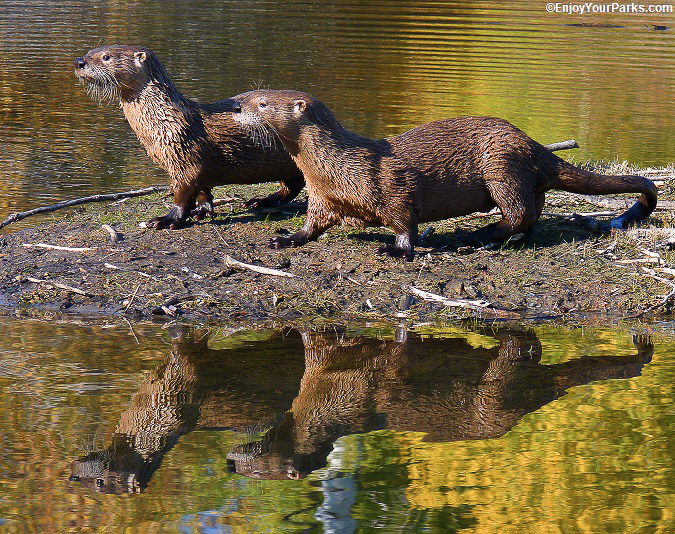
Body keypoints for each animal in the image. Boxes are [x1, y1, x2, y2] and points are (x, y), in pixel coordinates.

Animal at [75, 45, 304, 229]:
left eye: (106, 57)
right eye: (90, 51)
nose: (79, 62)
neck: (164, 121)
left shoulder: (186, 160)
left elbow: (182, 195)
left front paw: (167, 219)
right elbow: (203, 190)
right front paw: (202, 210)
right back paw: (260, 201)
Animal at [234, 90, 660, 262]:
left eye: (263, 102)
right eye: (254, 96)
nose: (237, 105)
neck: (335, 168)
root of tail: (532, 143)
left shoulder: (392, 188)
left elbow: (405, 222)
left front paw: (395, 250)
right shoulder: (323, 197)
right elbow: (313, 224)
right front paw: (286, 238)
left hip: (501, 166)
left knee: (518, 211)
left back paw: (475, 237)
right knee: (532, 214)